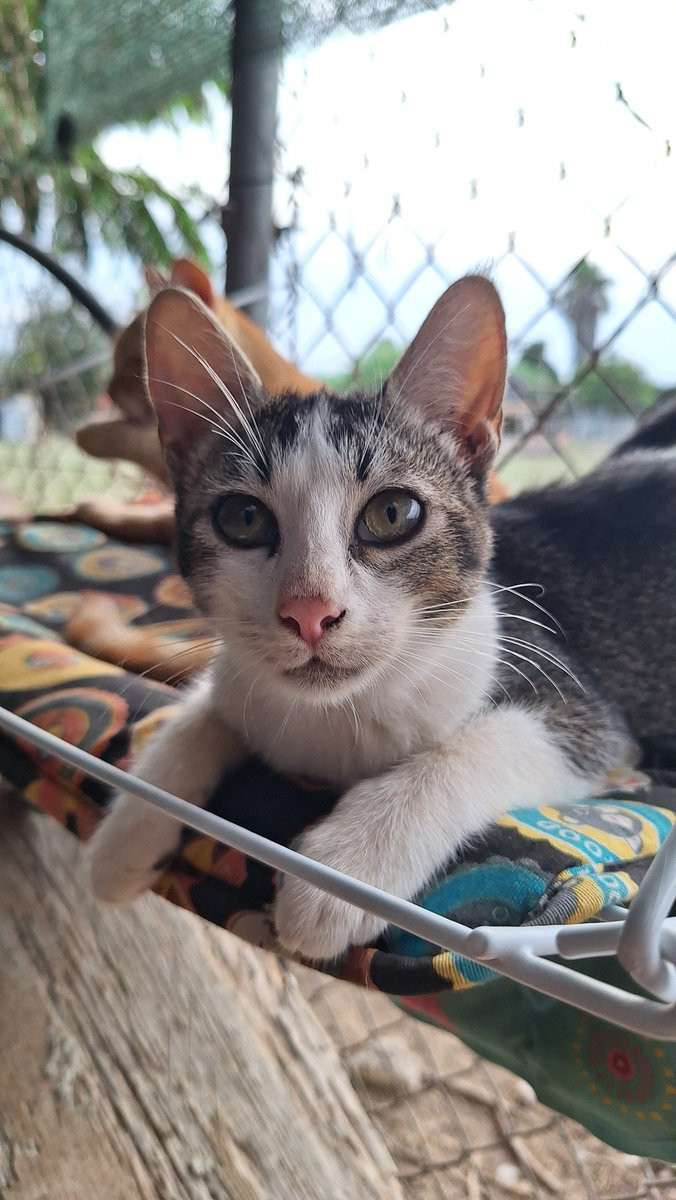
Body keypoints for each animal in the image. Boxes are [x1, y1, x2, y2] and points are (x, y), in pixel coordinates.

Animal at [86, 275, 675, 962]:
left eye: (392, 514)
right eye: (243, 519)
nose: (309, 610)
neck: (338, 717)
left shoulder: (583, 708)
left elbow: (482, 745)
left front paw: (342, 870)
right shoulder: (243, 678)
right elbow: (201, 715)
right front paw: (127, 833)